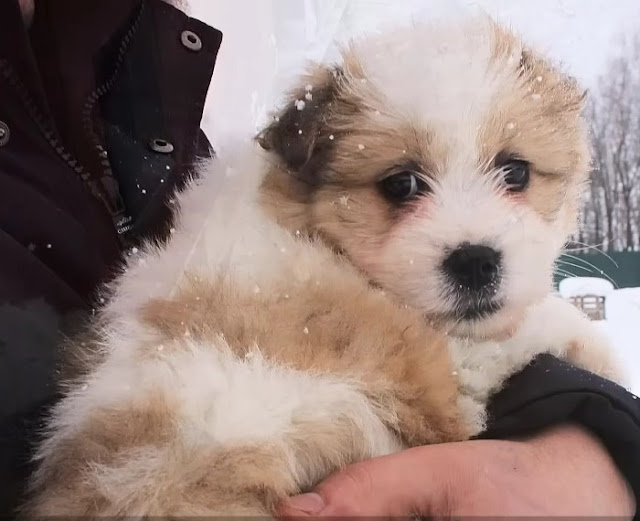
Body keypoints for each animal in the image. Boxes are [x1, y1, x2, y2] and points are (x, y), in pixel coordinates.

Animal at [23, 15, 620, 516]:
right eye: (400, 184)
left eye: (515, 172)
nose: (475, 262)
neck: (311, 234)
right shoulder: (435, 375)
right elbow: (536, 327)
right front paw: (602, 354)